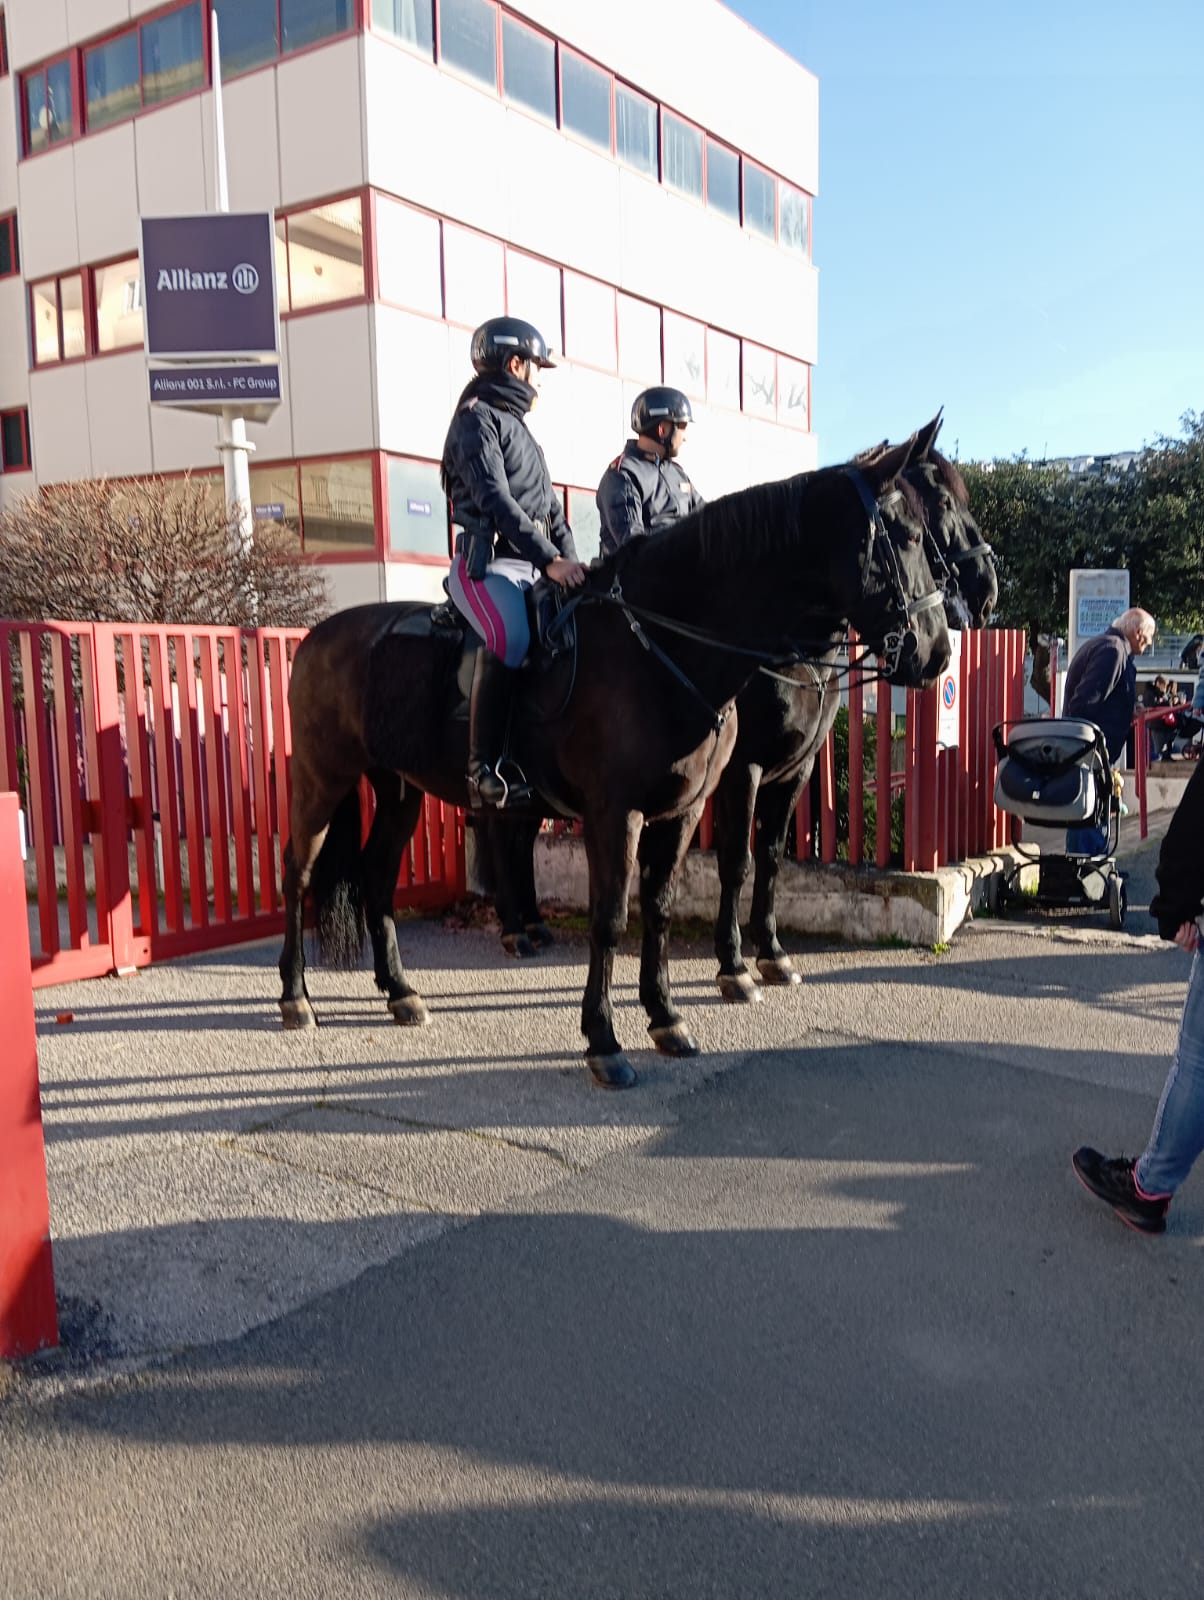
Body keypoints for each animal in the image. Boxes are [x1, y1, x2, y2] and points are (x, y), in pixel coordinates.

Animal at [280, 438, 947, 1088]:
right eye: (907, 535)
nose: (937, 650)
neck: (660, 646)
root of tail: (313, 638)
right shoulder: (617, 814)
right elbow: (611, 918)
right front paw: (605, 1041)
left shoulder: (681, 812)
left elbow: (660, 908)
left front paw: (667, 1017)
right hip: (320, 781)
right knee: (298, 873)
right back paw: (296, 998)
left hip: (399, 789)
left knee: (376, 875)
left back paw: (399, 991)